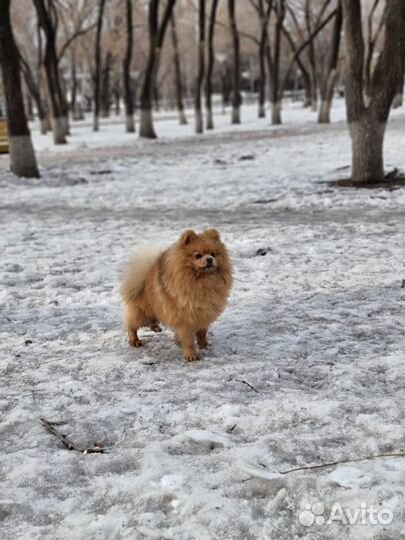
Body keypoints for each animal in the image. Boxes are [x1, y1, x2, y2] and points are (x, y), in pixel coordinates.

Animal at [119, 229, 230, 362]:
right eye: (198, 255)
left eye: (213, 254)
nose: (209, 259)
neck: (202, 280)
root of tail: (143, 277)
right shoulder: (185, 320)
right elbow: (188, 340)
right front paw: (191, 355)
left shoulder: (204, 315)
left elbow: (202, 333)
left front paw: (204, 345)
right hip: (141, 312)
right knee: (131, 326)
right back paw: (135, 340)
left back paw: (155, 327)